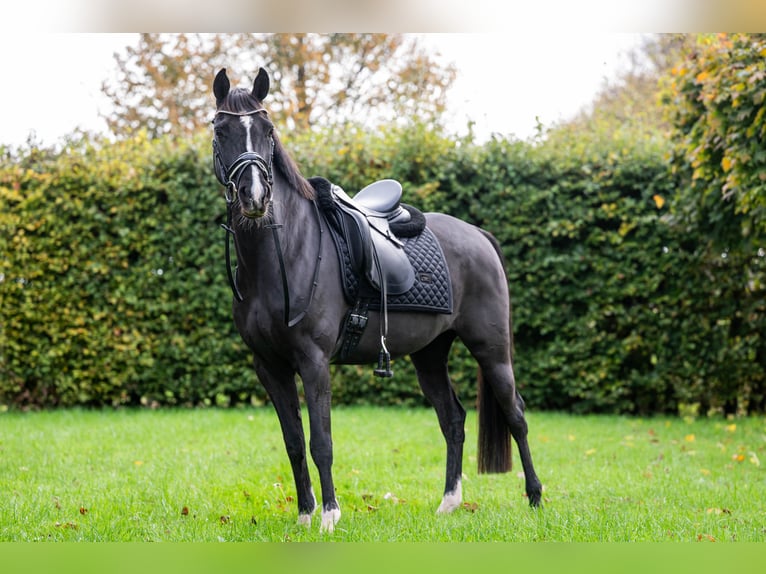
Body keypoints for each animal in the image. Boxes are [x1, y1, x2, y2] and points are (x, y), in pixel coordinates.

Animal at [211, 67, 542, 532]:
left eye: (268, 131)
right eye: (220, 131)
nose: (254, 197)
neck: (285, 254)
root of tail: (478, 234)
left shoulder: (313, 362)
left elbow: (321, 441)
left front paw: (330, 516)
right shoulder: (270, 366)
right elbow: (293, 442)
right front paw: (305, 514)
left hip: (491, 349)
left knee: (516, 414)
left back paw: (535, 497)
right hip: (430, 355)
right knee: (453, 419)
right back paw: (449, 503)